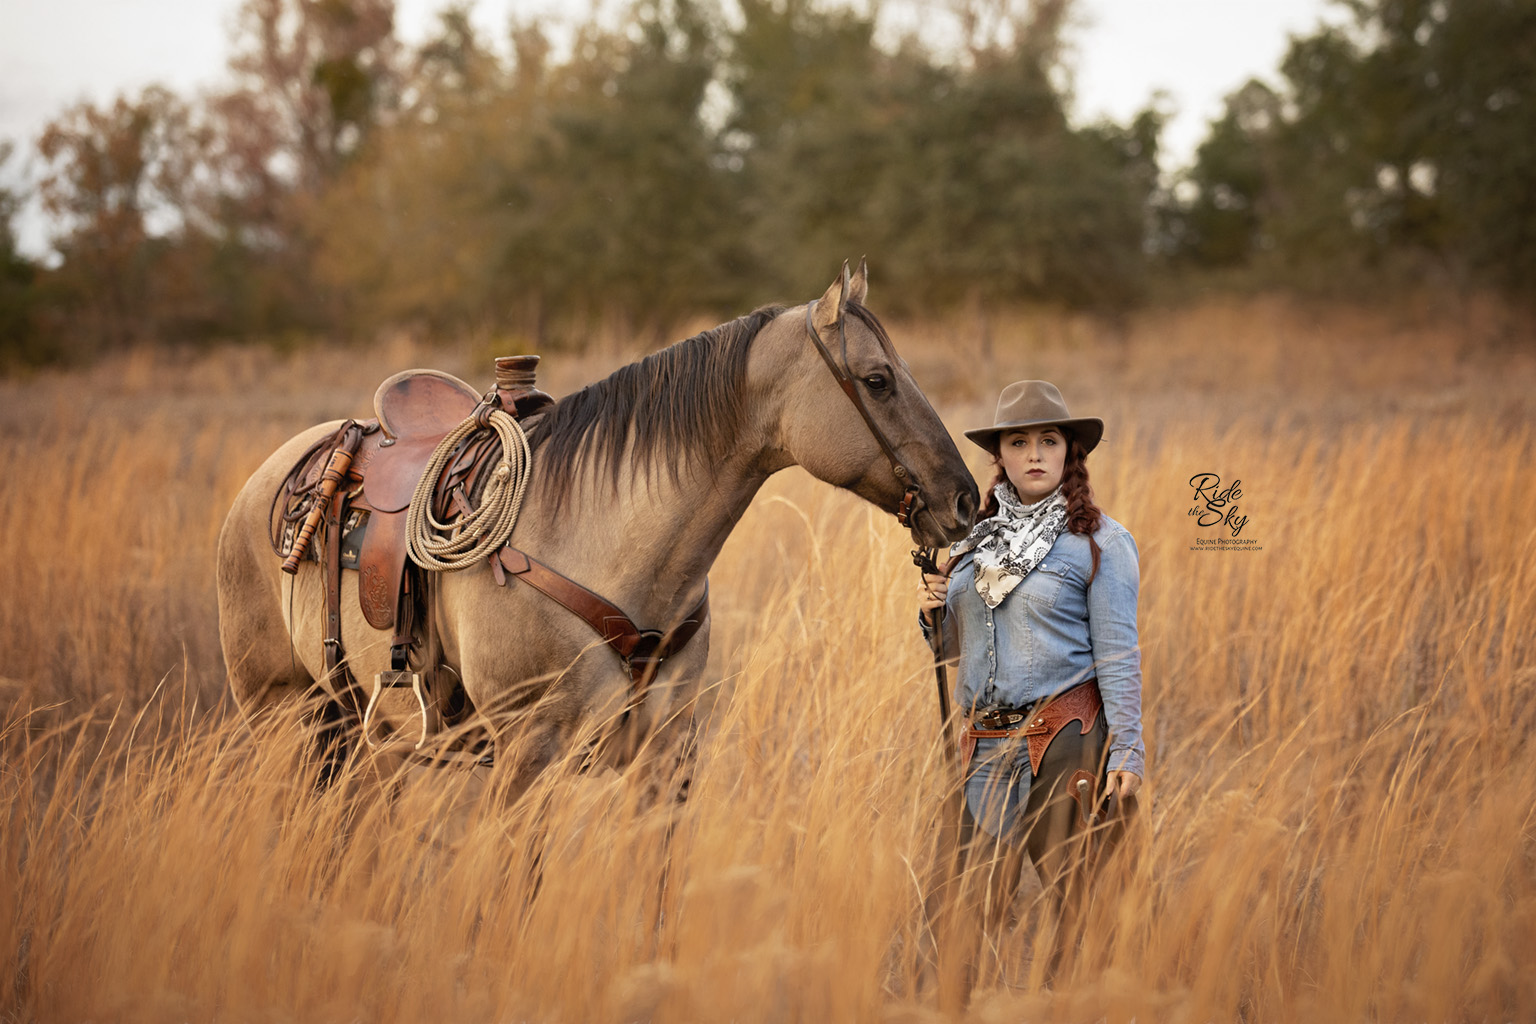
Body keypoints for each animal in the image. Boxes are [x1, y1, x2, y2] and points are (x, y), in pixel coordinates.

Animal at [213, 262, 983, 792]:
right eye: (878, 380)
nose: (966, 500)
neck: (612, 547)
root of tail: (264, 480)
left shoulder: (664, 759)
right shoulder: (526, 758)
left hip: (361, 740)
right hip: (280, 717)